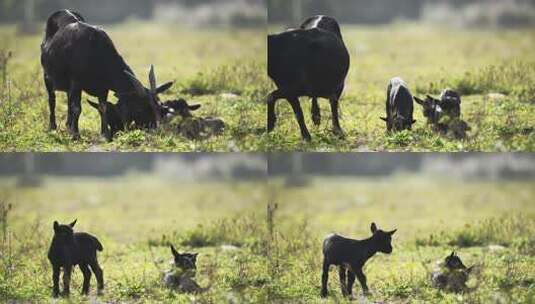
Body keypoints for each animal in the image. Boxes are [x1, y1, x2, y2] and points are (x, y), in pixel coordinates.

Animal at [41, 9, 162, 140]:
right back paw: (52, 127)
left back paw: (68, 125)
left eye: (157, 104)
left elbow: (102, 107)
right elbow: (77, 108)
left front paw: (105, 134)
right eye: (140, 107)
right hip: (47, 76)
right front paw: (76, 135)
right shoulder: (76, 82)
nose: (153, 127)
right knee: (52, 100)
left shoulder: (103, 88)